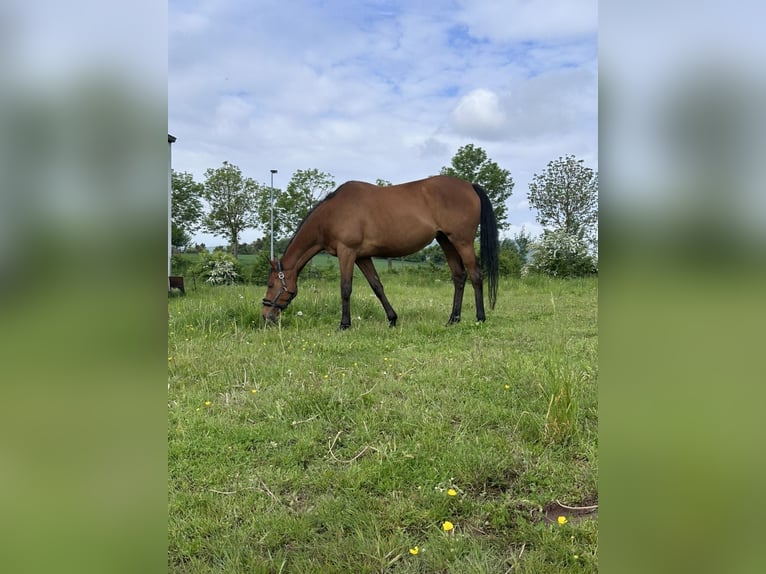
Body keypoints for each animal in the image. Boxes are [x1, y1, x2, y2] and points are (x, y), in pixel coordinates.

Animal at [262, 175, 499, 330]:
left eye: (271, 285)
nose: (266, 316)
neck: (332, 214)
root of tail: (469, 185)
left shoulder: (347, 253)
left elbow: (345, 288)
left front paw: (344, 324)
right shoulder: (362, 257)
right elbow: (377, 286)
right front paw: (392, 319)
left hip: (462, 241)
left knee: (476, 274)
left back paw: (480, 318)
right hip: (446, 241)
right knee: (459, 277)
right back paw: (453, 319)